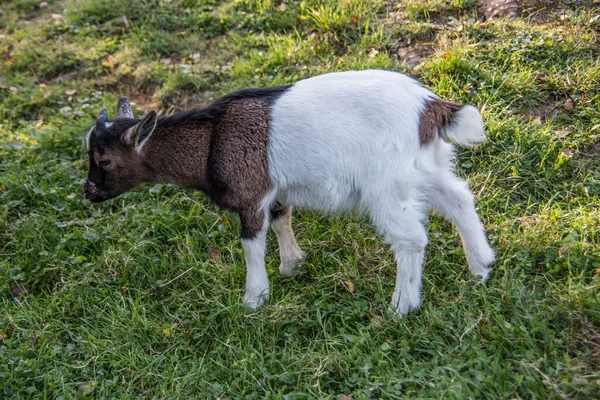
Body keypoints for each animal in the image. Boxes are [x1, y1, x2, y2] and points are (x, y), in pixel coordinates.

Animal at [85, 69, 496, 316]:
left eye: (103, 160)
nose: (88, 192)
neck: (212, 139)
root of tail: (430, 106)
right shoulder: (277, 189)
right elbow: (282, 216)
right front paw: (292, 264)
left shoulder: (249, 193)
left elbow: (252, 244)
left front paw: (254, 298)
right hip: (424, 167)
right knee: (459, 199)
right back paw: (481, 267)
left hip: (386, 185)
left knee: (411, 239)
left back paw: (402, 306)